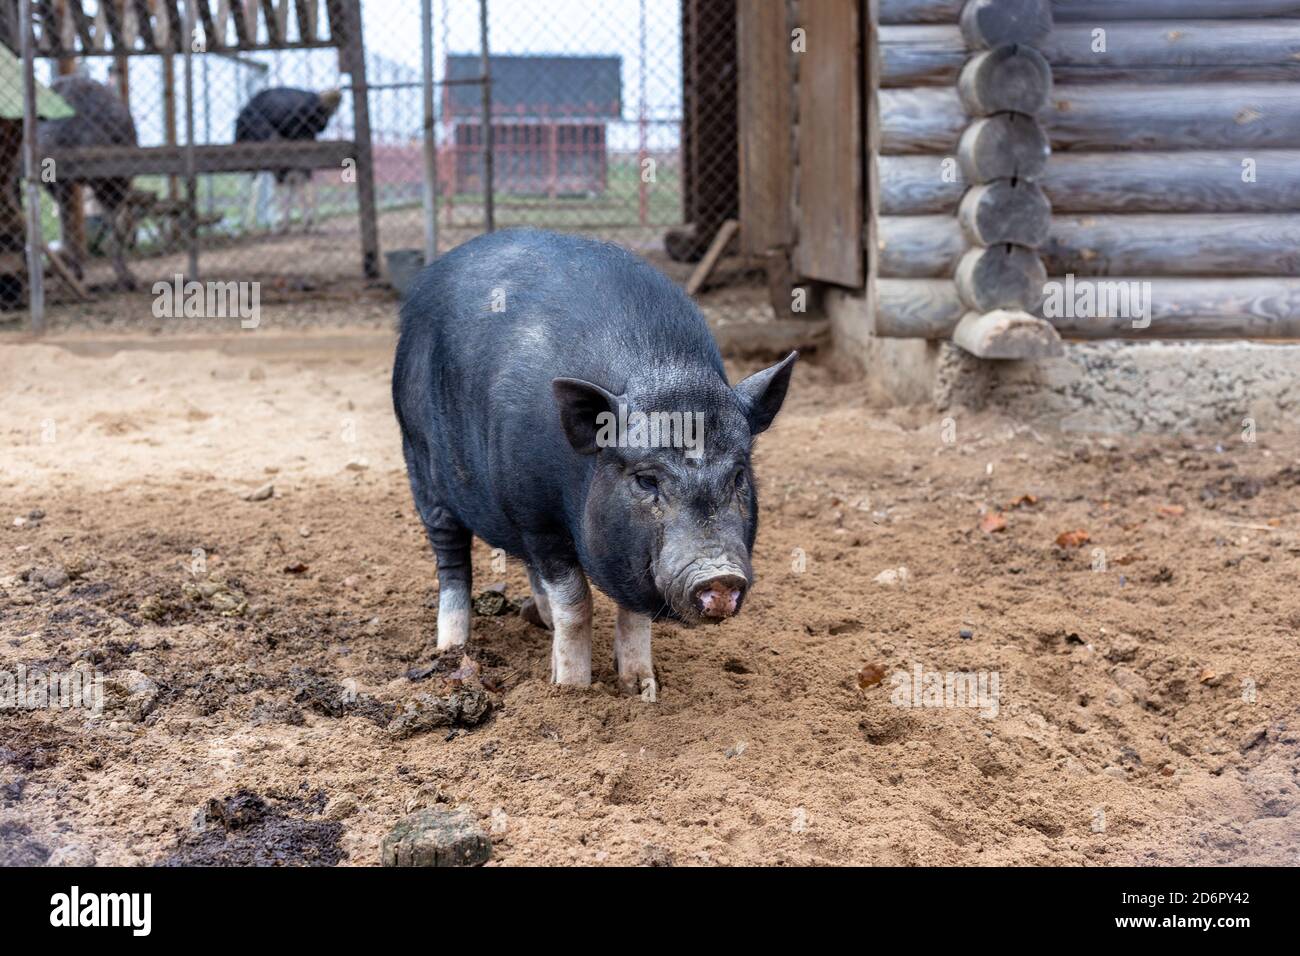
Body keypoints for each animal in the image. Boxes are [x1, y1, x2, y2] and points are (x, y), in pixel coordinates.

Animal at [390, 227, 790, 697]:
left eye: (739, 474)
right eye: (646, 480)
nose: (720, 577)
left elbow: (633, 613)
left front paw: (642, 690)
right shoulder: (536, 516)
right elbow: (577, 603)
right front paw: (571, 690)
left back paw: (540, 624)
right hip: (419, 460)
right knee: (452, 559)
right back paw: (452, 648)